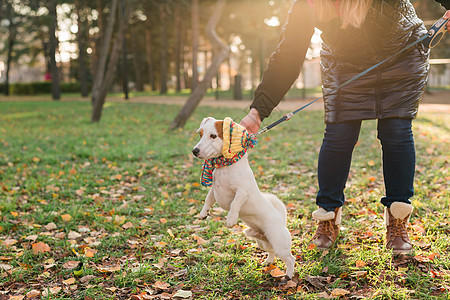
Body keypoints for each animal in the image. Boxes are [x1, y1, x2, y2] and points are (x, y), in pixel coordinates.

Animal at [192, 117, 296, 278]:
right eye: (200, 134)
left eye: (213, 135)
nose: (194, 151)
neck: (224, 166)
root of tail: (281, 218)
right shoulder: (214, 190)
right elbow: (208, 200)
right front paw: (203, 213)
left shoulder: (242, 191)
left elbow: (235, 203)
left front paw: (231, 219)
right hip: (262, 242)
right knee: (271, 252)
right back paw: (268, 262)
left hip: (280, 245)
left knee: (291, 259)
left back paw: (289, 275)